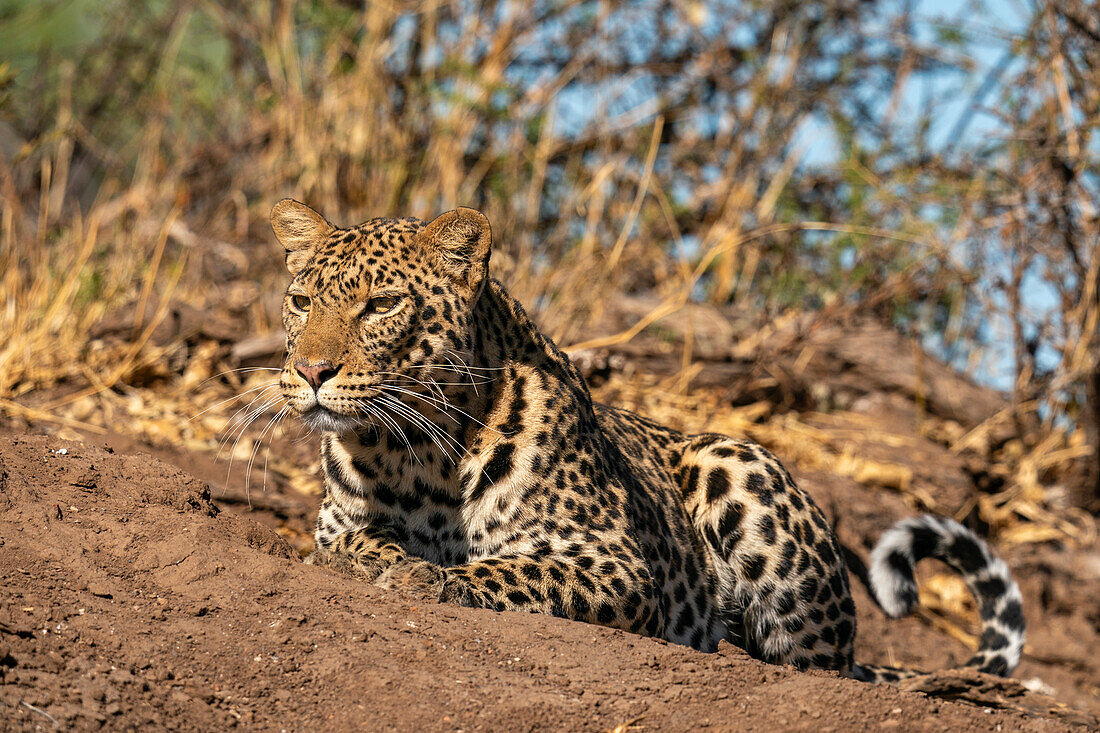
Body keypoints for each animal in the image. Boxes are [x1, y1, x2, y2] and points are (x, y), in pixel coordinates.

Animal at [270, 198, 1025, 677]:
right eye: (300, 301)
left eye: (382, 305)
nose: (310, 370)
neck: (412, 452)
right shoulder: (337, 521)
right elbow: (357, 539)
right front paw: (379, 559)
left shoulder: (615, 563)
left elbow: (512, 569)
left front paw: (426, 575)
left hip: (739, 466)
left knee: (819, 665)